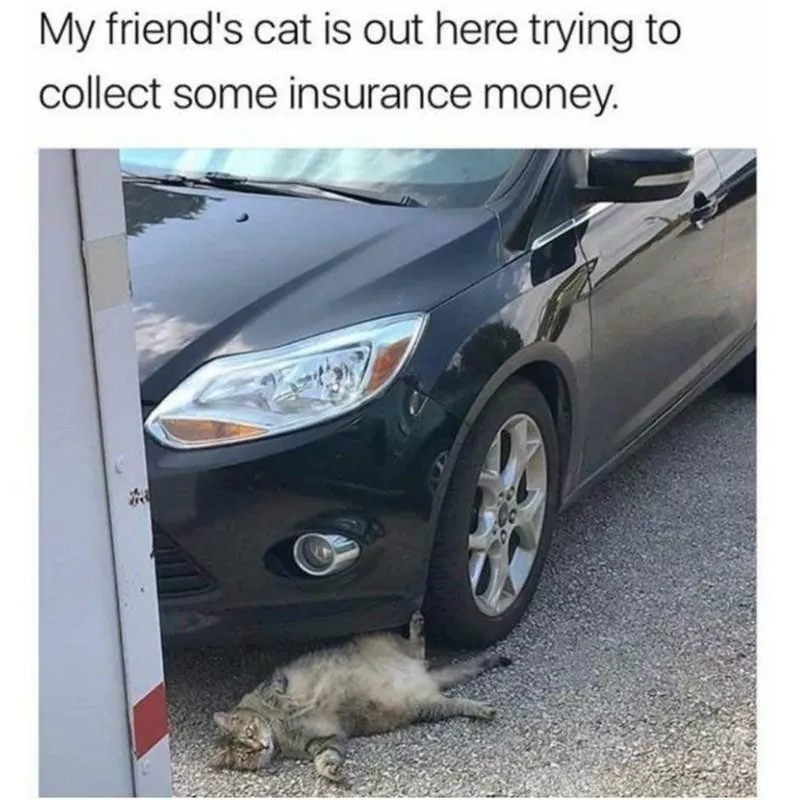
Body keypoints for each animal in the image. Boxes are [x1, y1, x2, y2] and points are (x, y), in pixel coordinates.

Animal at [209, 608, 512, 784]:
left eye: (249, 733)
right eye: (245, 756)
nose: (261, 746)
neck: (278, 731)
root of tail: (422, 677)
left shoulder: (275, 680)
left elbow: (279, 694)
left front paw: (288, 704)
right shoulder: (326, 741)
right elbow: (325, 759)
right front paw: (330, 772)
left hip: (388, 644)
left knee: (419, 649)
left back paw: (417, 627)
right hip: (428, 706)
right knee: (455, 700)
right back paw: (481, 709)